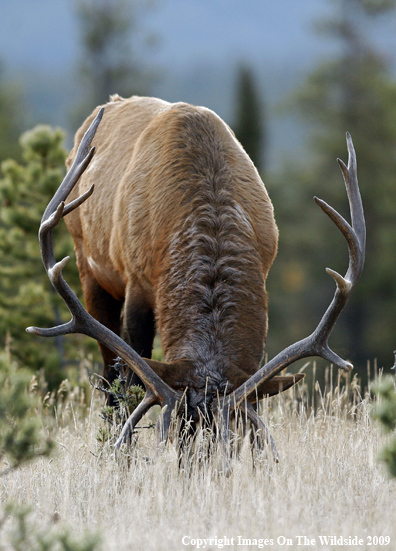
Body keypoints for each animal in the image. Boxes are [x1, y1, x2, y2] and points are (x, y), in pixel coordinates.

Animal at [25, 96, 366, 462]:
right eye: (175, 431)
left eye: (226, 435)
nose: (196, 469)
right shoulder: (138, 284)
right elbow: (131, 382)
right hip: (89, 269)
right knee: (109, 379)